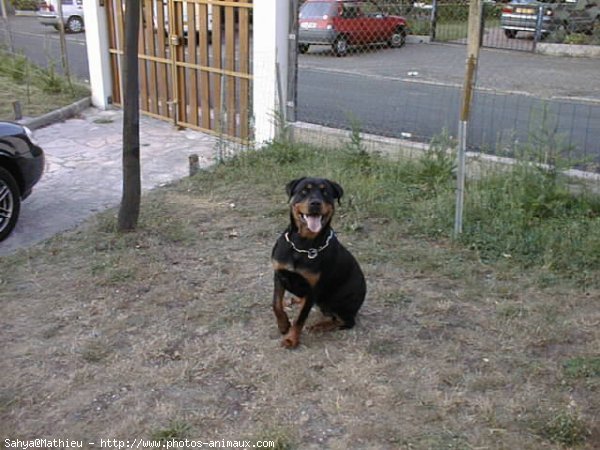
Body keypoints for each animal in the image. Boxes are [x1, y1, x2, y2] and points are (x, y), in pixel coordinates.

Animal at [270, 178, 366, 350]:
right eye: (304, 191)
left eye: (325, 192)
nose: (315, 203)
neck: (302, 245)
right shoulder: (279, 274)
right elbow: (276, 304)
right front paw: (283, 325)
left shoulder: (313, 288)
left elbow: (300, 318)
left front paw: (291, 339)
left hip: (337, 301)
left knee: (346, 321)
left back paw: (320, 326)